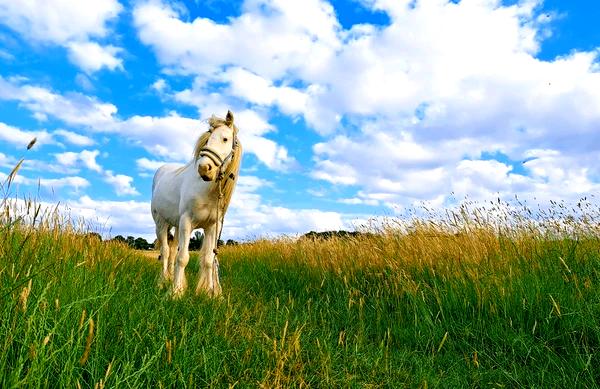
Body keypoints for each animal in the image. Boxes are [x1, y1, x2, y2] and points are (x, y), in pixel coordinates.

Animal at [151, 110, 243, 296]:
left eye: (225, 139)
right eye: (207, 139)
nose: (204, 168)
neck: (207, 191)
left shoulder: (212, 227)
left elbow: (208, 259)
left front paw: (210, 293)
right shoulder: (187, 222)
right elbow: (183, 258)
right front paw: (175, 292)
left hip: (176, 225)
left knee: (172, 250)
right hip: (161, 223)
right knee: (165, 252)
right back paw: (162, 283)